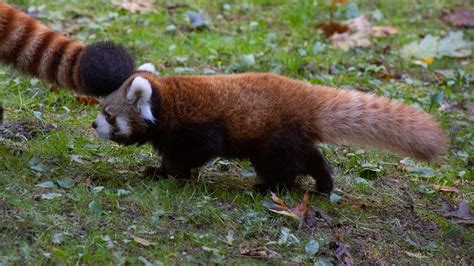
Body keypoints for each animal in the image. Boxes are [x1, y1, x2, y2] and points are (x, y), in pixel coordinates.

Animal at [91, 63, 448, 194]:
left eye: (108, 114)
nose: (93, 124)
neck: (168, 102)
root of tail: (304, 96)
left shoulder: (198, 128)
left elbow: (192, 153)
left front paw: (169, 172)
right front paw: (160, 169)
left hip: (272, 140)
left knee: (285, 166)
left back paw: (269, 187)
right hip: (288, 137)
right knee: (312, 157)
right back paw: (324, 184)